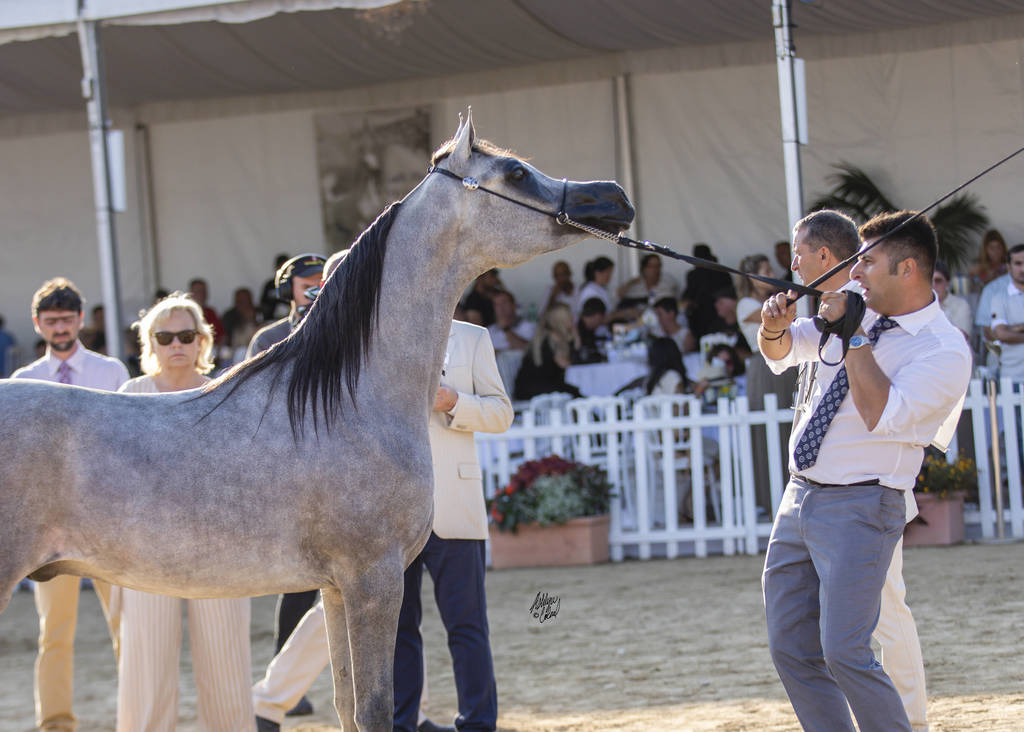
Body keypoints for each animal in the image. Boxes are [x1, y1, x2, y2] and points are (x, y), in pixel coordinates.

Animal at [0, 111, 633, 731]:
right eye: (516, 172)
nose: (614, 196)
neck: (350, 401)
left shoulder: (334, 590)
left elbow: (346, 705)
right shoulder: (373, 579)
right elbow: (375, 708)